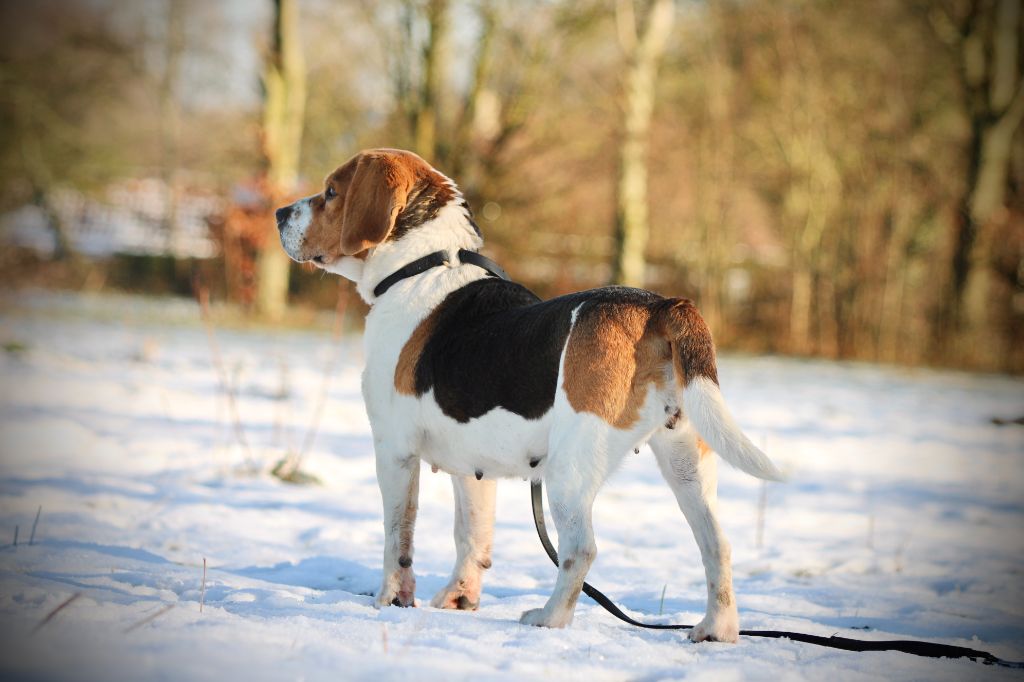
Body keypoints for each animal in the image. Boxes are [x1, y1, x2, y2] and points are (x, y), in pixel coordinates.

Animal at [274, 146, 782, 638]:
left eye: (331, 192)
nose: (279, 212)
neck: (421, 268)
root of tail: (659, 305)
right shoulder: (472, 468)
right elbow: (471, 537)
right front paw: (460, 599)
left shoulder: (394, 450)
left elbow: (397, 536)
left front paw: (391, 599)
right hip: (688, 462)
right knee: (717, 545)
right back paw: (716, 628)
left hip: (570, 468)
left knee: (580, 549)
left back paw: (549, 617)